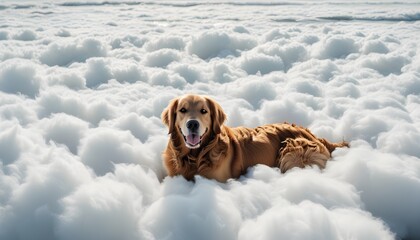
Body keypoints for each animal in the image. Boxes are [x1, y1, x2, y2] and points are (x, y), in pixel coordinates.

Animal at [161, 94, 348, 182]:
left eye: (203, 111)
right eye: (183, 110)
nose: (193, 124)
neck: (195, 156)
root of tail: (315, 136)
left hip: (292, 150)